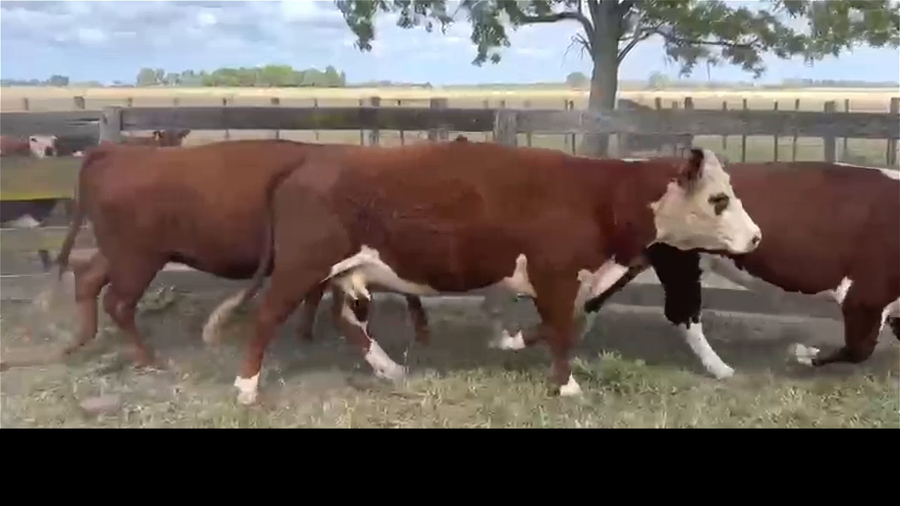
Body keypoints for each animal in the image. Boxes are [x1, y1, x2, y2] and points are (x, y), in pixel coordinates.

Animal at [211, 142, 761, 405]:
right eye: (719, 199)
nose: (756, 237)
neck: (600, 196)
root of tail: (307, 163)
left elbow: (562, 327)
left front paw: (514, 343)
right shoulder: (555, 276)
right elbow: (562, 332)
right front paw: (567, 388)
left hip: (346, 274)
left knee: (349, 322)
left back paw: (390, 370)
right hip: (301, 267)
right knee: (267, 319)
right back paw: (246, 388)